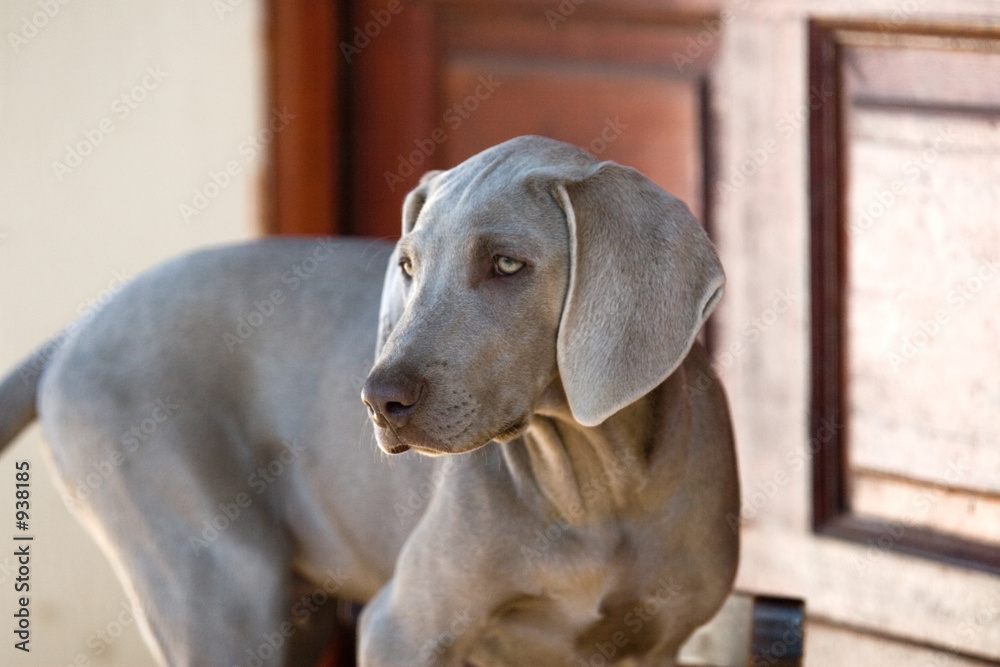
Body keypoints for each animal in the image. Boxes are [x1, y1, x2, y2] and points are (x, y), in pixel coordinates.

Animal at [0, 137, 736, 667]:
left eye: (506, 264)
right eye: (408, 266)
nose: (378, 399)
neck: (597, 488)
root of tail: (78, 329)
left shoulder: (658, 644)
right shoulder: (401, 627)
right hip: (220, 580)